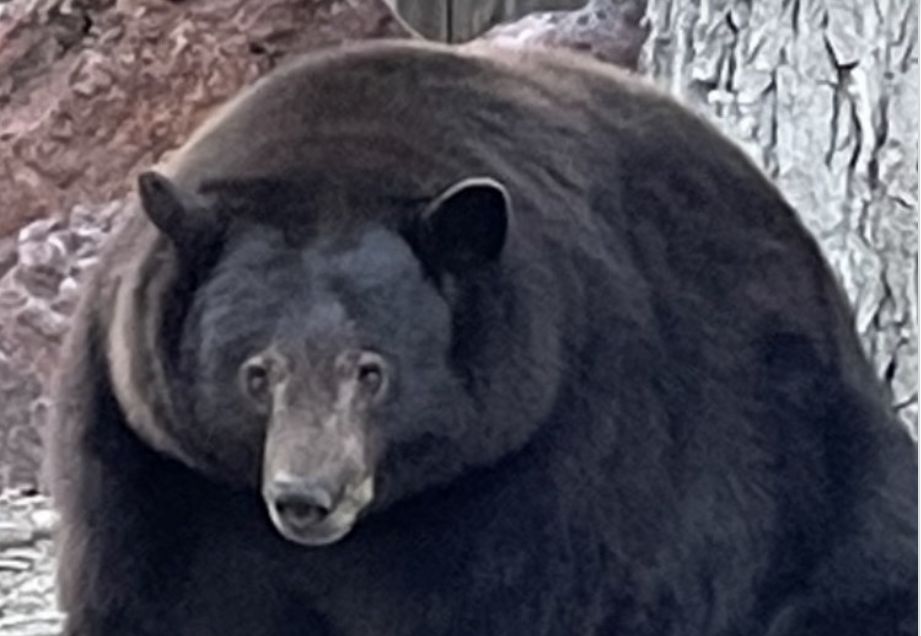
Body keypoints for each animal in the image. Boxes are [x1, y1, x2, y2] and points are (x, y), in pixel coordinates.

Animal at [46, 41, 916, 636]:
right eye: (256, 372)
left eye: (372, 370)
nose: (306, 497)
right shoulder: (153, 466)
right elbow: (154, 599)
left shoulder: (555, 452)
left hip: (810, 475)